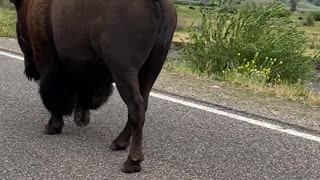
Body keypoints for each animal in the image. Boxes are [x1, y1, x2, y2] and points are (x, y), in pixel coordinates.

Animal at [8, 0, 178, 173]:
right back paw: (118, 143)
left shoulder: (48, 61)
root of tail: (157, 3)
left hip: (123, 71)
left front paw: (52, 126)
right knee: (142, 104)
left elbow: (55, 94)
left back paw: (132, 161)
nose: (29, 69)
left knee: (135, 108)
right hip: (150, 70)